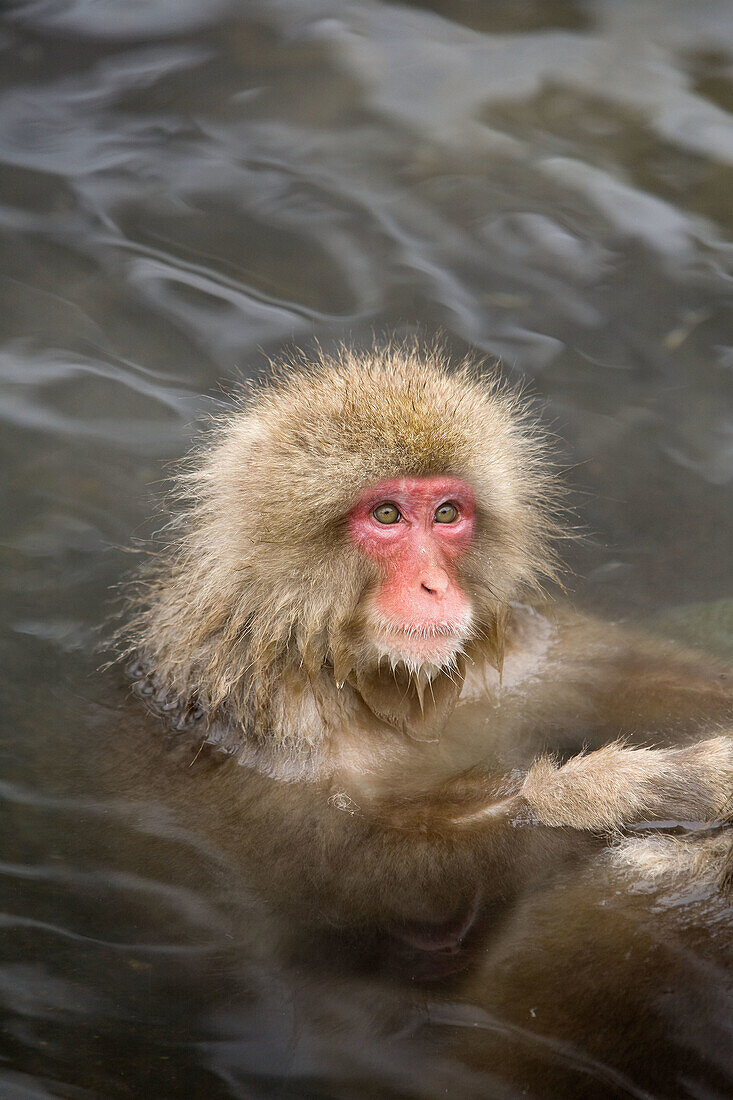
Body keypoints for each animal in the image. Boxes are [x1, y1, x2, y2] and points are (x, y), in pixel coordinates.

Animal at [119, 345, 730, 954]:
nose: (434, 585)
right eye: (387, 514)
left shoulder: (521, 651)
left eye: (446, 514)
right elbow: (357, 879)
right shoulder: (266, 716)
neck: (377, 677)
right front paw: (643, 791)